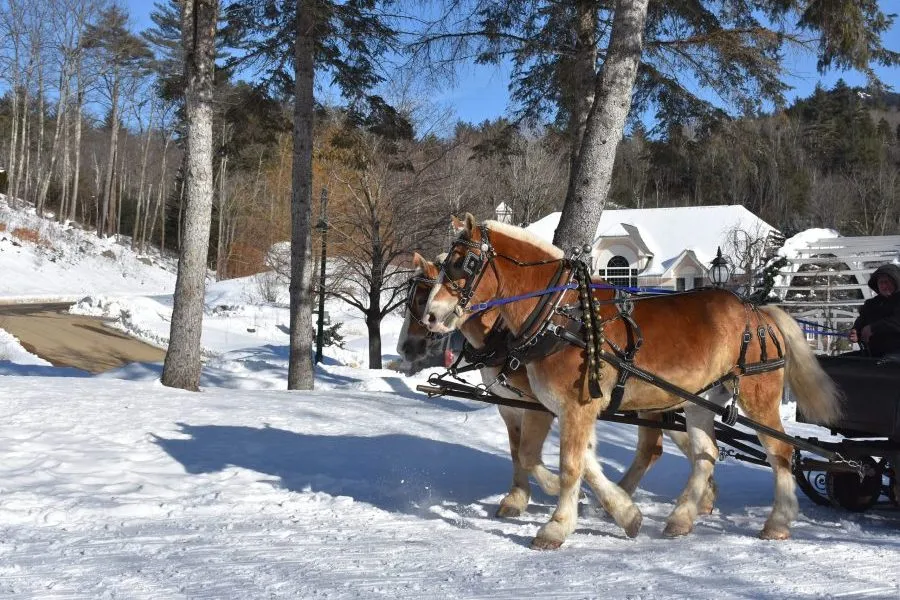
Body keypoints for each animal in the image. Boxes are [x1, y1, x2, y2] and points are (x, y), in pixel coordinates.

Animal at [398, 254, 717, 517]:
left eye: (421, 299)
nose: (405, 347)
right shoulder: (510, 406)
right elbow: (518, 451)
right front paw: (517, 498)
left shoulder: (546, 405)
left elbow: (551, 455)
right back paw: (701, 496)